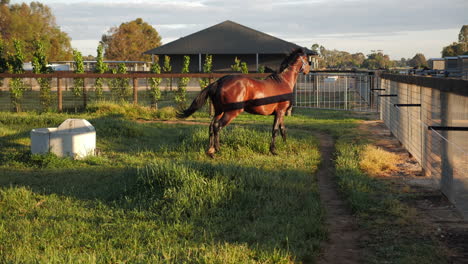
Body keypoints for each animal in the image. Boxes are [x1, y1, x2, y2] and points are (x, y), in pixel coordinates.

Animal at [176, 48, 310, 157]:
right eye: (307, 59)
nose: (308, 70)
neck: (283, 81)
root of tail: (219, 82)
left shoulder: (279, 113)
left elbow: (283, 130)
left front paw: (285, 146)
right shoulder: (280, 112)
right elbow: (275, 130)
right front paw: (273, 151)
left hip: (219, 111)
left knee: (211, 126)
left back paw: (210, 150)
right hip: (231, 112)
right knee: (217, 126)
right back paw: (218, 149)